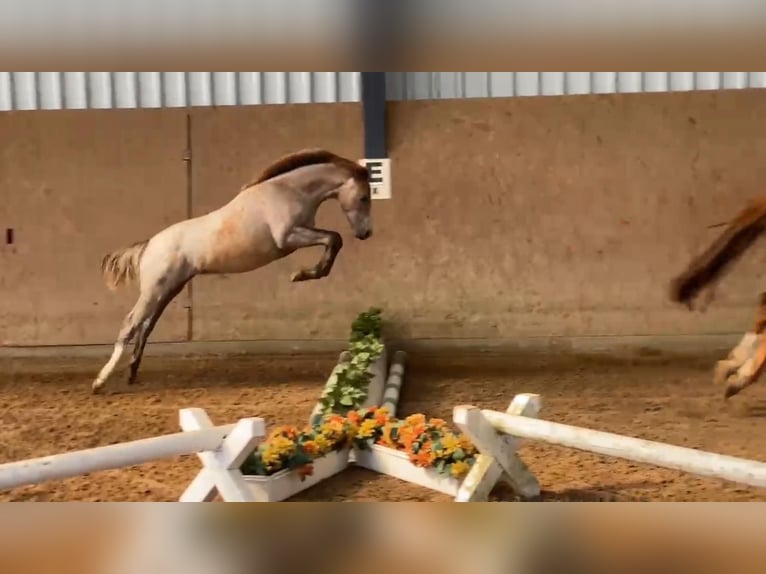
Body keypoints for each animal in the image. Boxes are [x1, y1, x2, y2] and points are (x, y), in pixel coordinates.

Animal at [91, 148, 374, 396]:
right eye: (364, 197)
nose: (365, 233)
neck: (287, 191)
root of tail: (149, 244)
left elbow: (333, 240)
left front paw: (307, 273)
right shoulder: (289, 237)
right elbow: (334, 238)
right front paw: (304, 274)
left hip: (170, 289)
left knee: (145, 327)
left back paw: (131, 373)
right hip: (154, 290)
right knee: (130, 324)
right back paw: (100, 381)